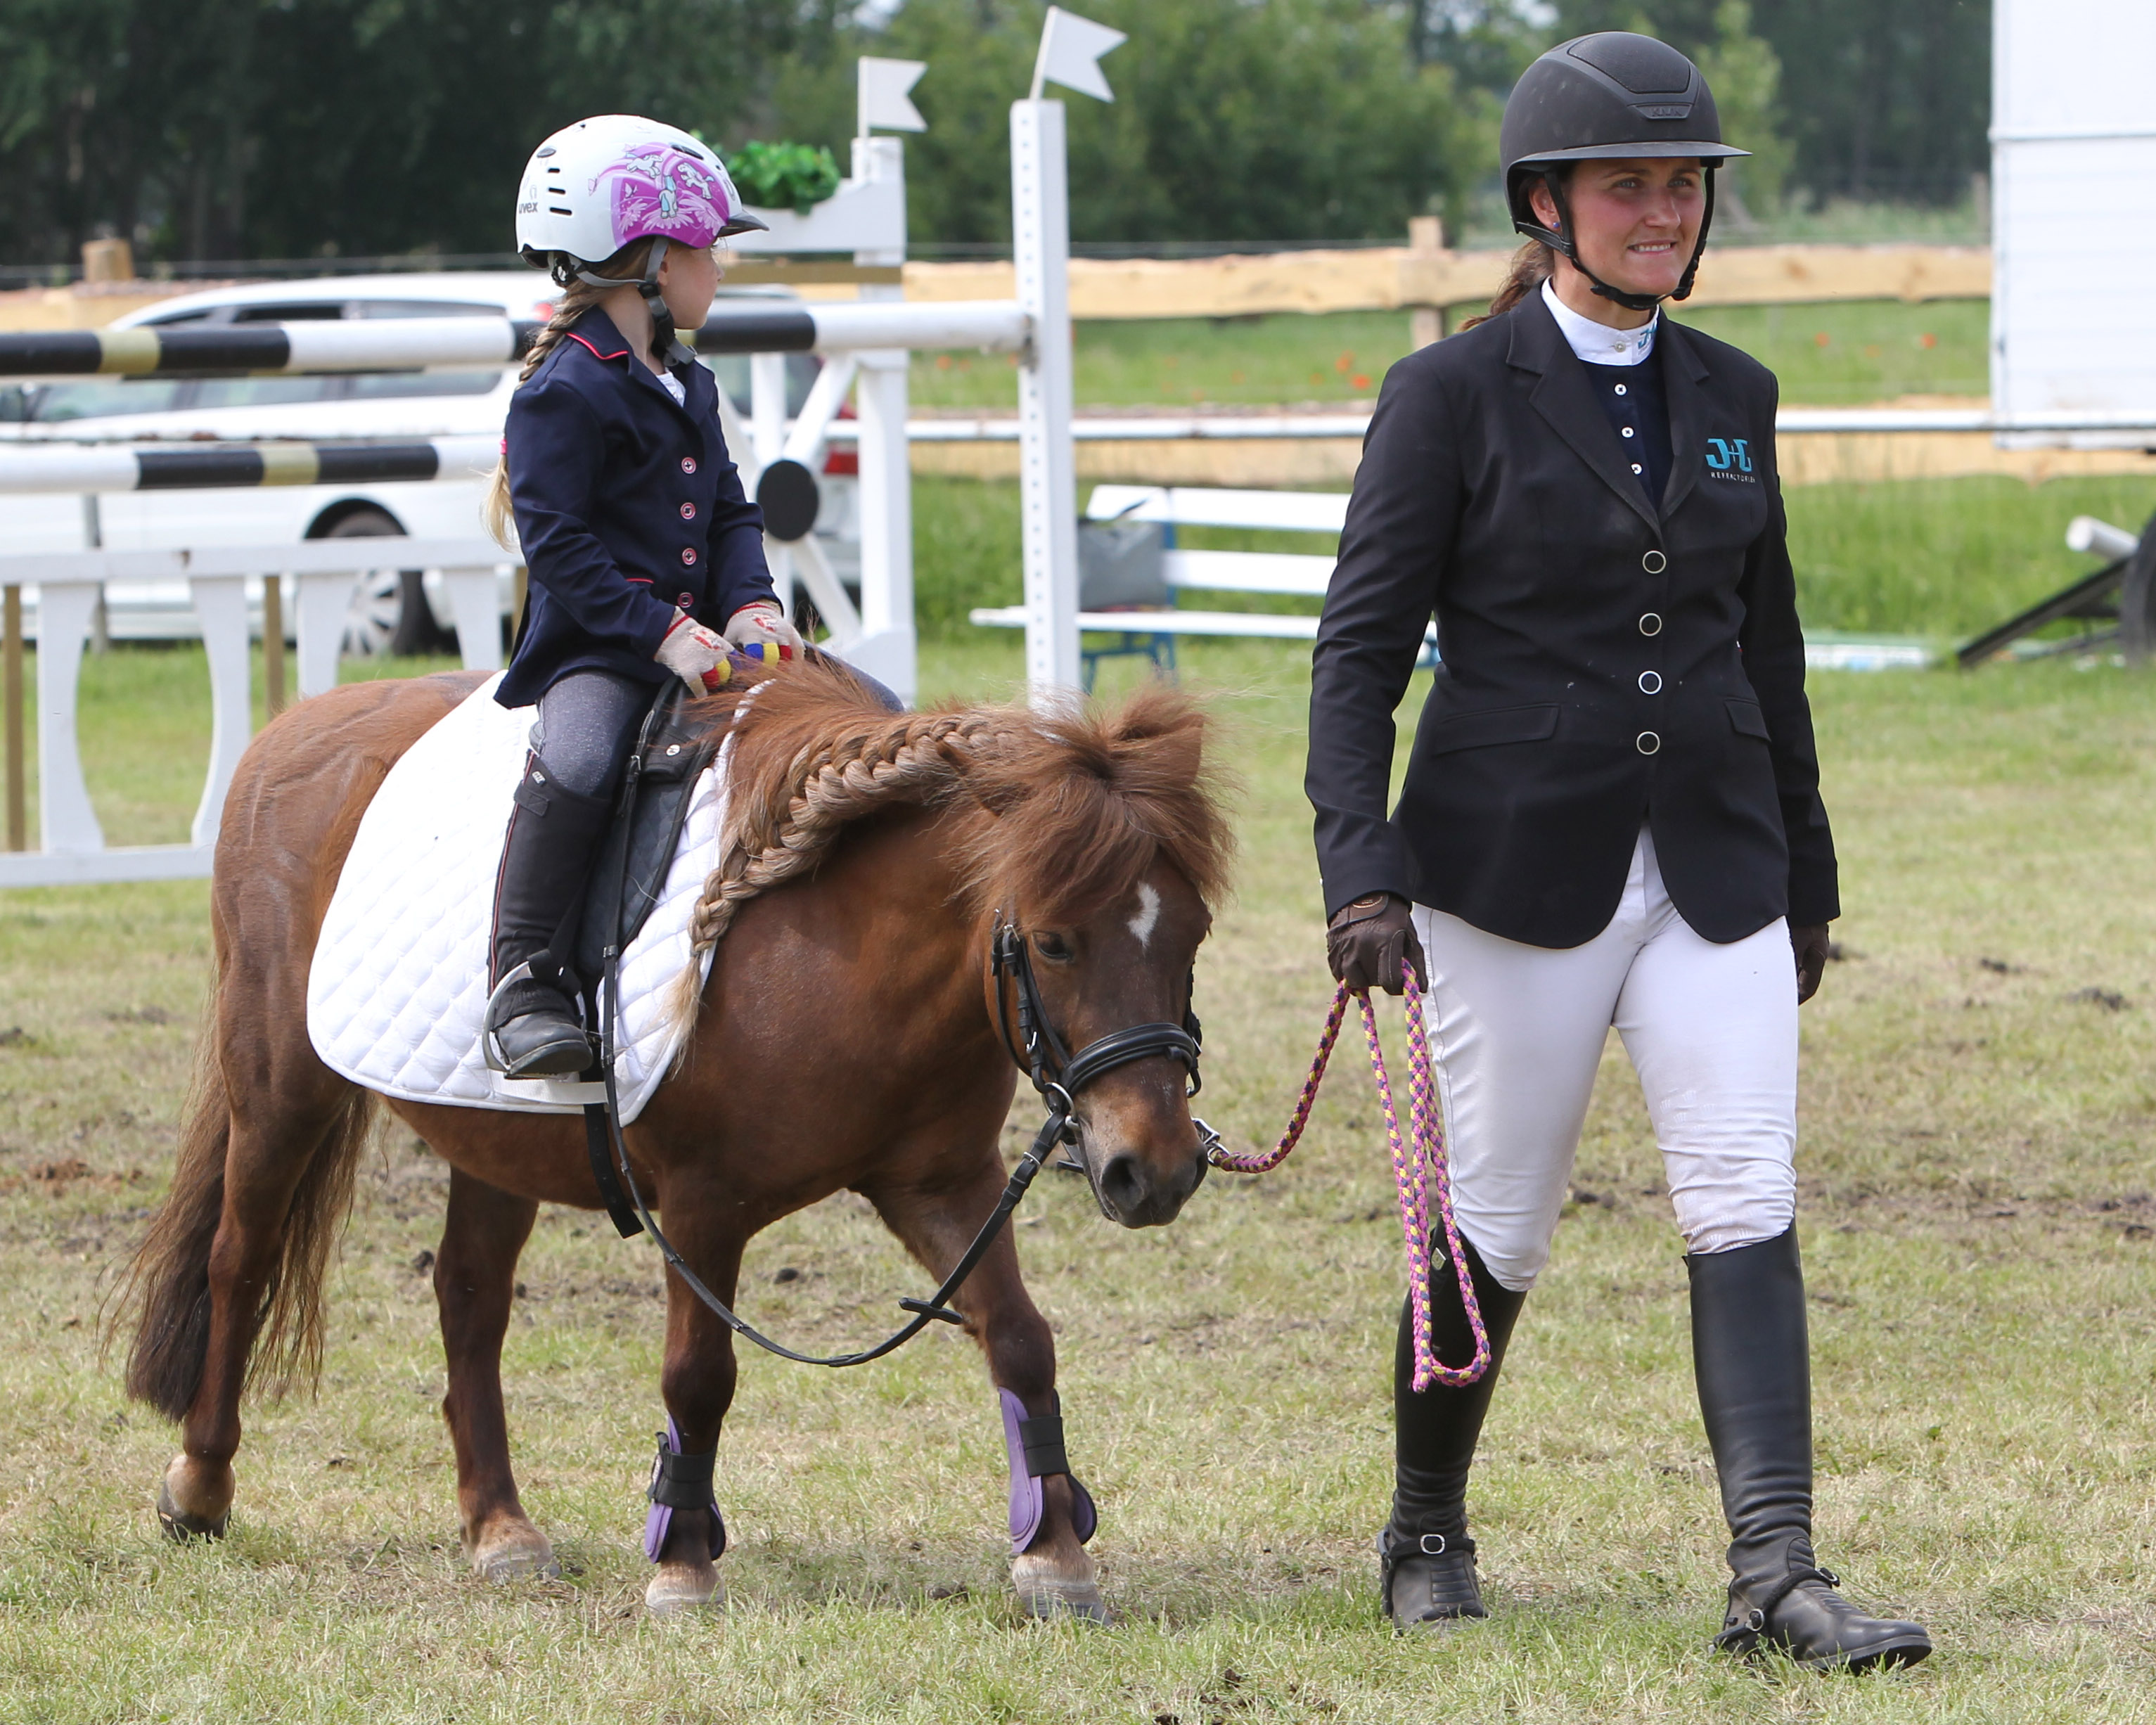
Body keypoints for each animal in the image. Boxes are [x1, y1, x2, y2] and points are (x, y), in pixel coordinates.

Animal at [117, 660, 1233, 1621]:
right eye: (1052, 940)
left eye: (1190, 932)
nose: (1157, 1169)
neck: (836, 939)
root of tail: (294, 728)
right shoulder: (705, 1203)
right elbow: (700, 1375)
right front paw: (683, 1564)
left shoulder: (944, 1183)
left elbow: (1020, 1338)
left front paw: (1055, 1553)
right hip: (279, 1087)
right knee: (239, 1260)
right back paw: (199, 1485)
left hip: (497, 1140)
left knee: (469, 1298)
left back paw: (499, 1526)